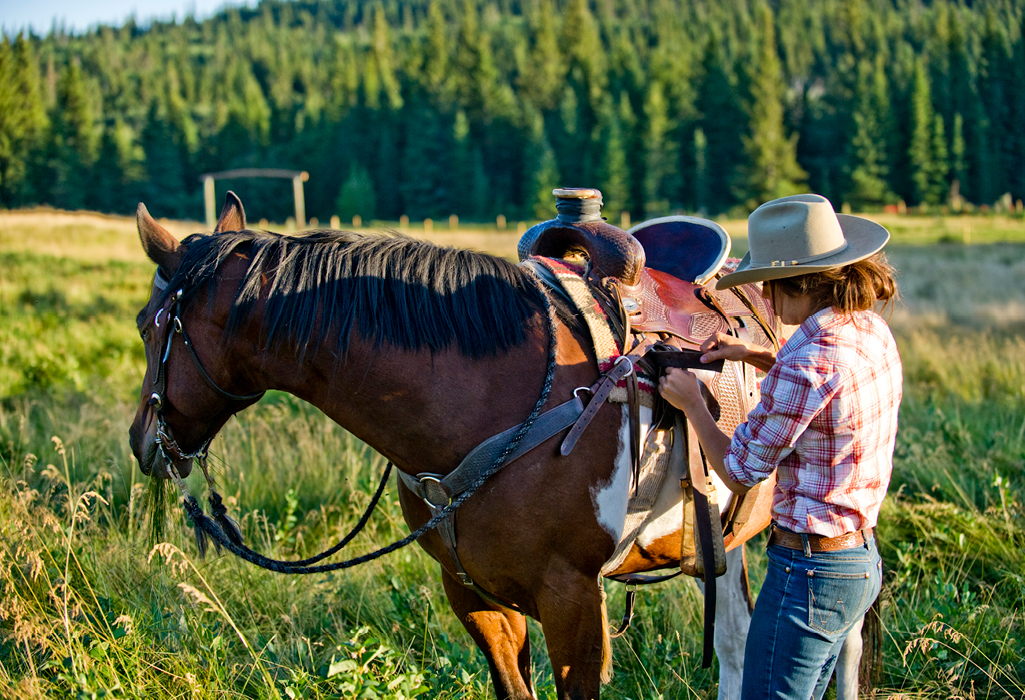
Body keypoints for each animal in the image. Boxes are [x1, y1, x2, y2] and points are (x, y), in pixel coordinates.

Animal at [126, 192, 865, 700]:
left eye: (145, 324)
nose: (142, 442)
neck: (491, 400)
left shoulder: (573, 600)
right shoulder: (471, 592)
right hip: (726, 538)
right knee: (739, 644)